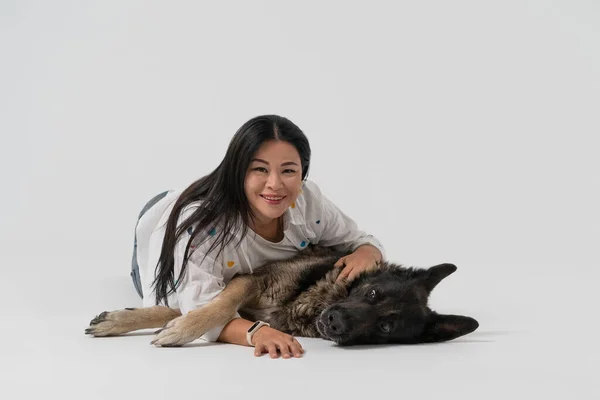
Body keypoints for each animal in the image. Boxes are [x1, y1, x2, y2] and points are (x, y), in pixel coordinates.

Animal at [83, 244, 478, 346]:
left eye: (386, 327)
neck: (315, 300)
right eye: (372, 292)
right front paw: (177, 329)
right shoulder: (251, 280)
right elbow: (212, 306)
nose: (335, 321)